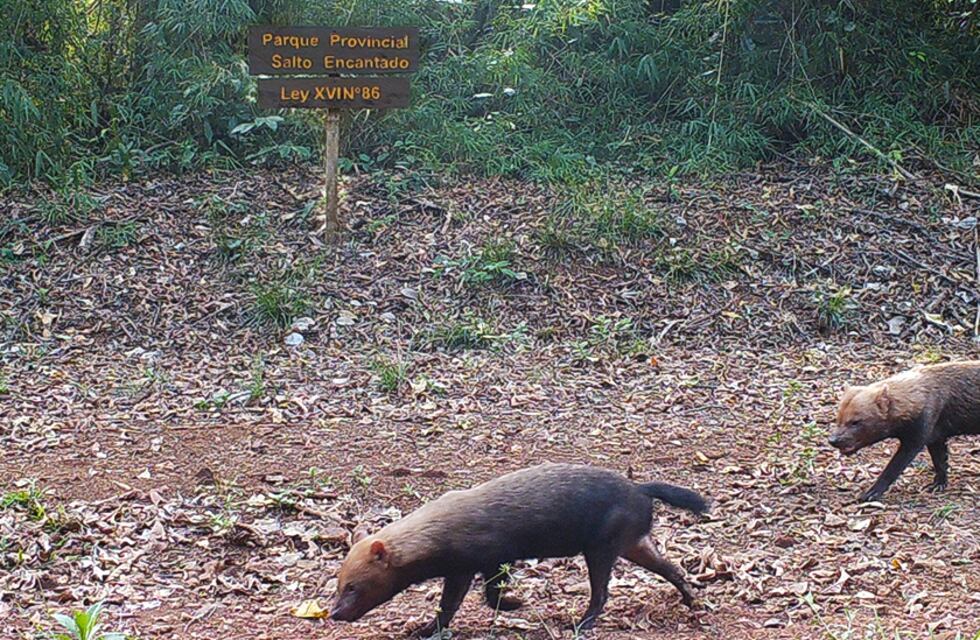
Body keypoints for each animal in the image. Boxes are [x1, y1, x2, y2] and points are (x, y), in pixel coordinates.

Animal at [329, 463, 708, 636]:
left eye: (353, 586)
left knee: (601, 593)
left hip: (602, 548)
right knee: (672, 568)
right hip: (633, 543)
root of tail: (639, 489)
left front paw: (426, 630)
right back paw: (691, 599)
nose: (333, 613)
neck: (439, 531)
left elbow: (467, 599)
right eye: (338, 584)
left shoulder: (482, 560)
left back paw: (580, 624)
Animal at [829, 361, 980, 501]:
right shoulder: (935, 437)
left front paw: (871, 493)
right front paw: (938, 484)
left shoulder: (916, 437)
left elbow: (893, 468)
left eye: (855, 422)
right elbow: (940, 461)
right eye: (838, 418)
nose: (832, 440)